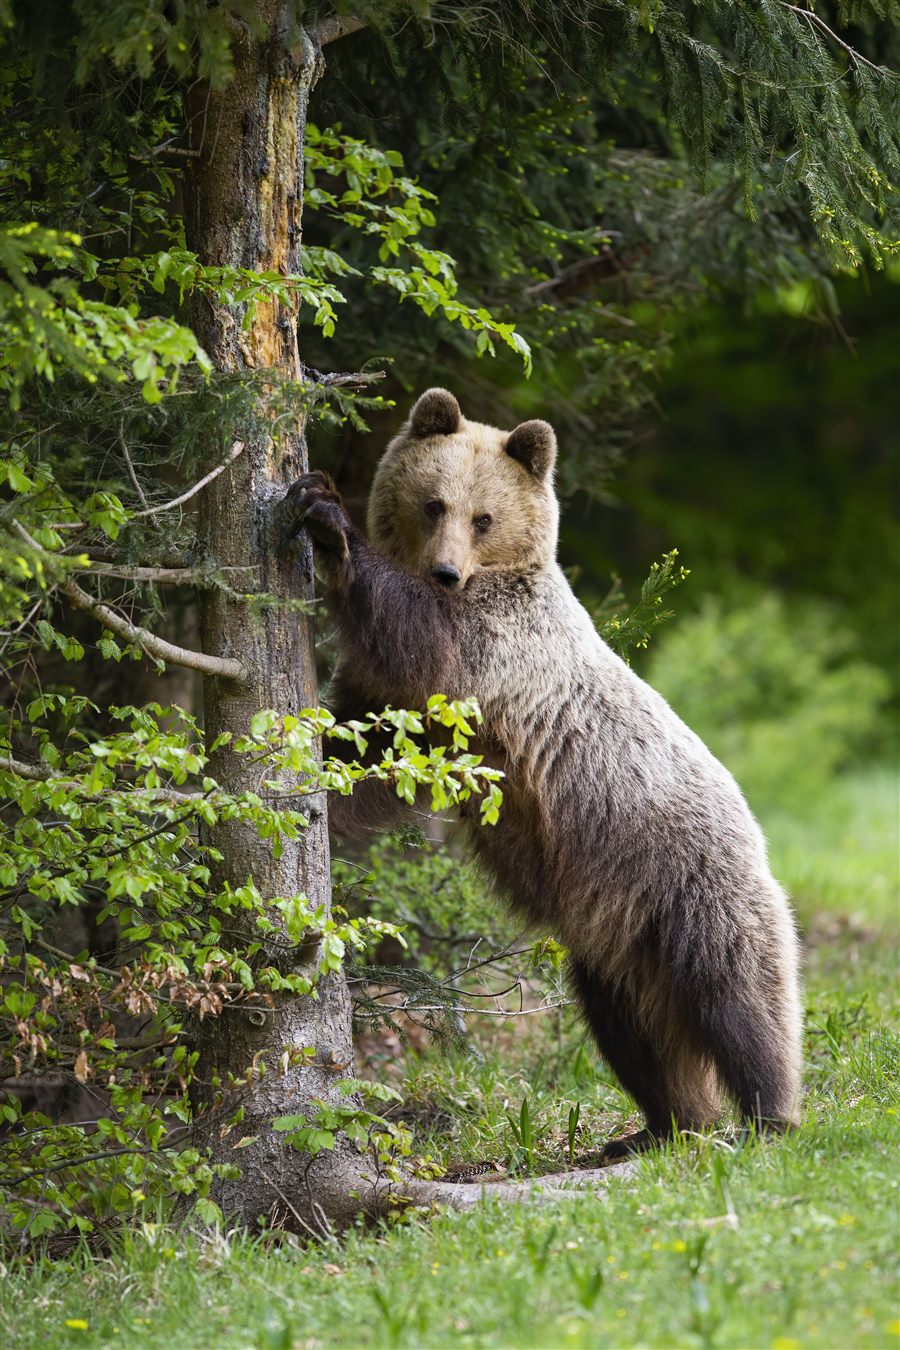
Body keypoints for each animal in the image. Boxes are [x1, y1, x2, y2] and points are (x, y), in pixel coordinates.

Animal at [289, 386, 803, 1158]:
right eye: (434, 503)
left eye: (483, 516)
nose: (445, 570)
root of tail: (754, 830)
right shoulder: (403, 704)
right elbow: (367, 749)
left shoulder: (493, 648)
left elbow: (422, 636)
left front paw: (328, 517)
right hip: (617, 935)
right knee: (635, 1032)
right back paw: (660, 1127)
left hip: (693, 883)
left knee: (740, 996)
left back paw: (770, 1116)